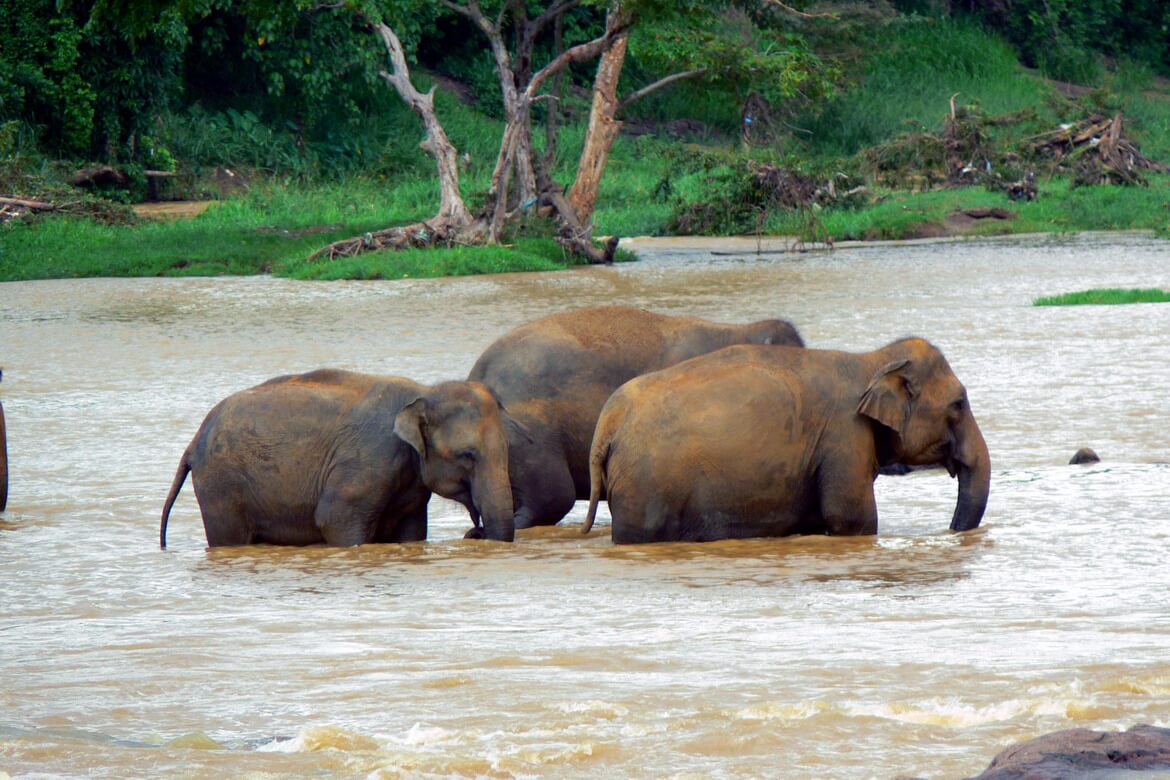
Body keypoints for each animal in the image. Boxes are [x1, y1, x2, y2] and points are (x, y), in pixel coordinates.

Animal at [161, 371, 517, 549]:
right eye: (467, 456)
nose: (475, 532)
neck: (424, 392)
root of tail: (194, 441)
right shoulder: (369, 458)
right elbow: (334, 518)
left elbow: (412, 529)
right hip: (221, 486)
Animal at [582, 339, 987, 547]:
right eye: (958, 404)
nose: (951, 531)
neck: (871, 359)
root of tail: (607, 426)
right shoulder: (843, 436)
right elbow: (852, 518)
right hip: (646, 491)